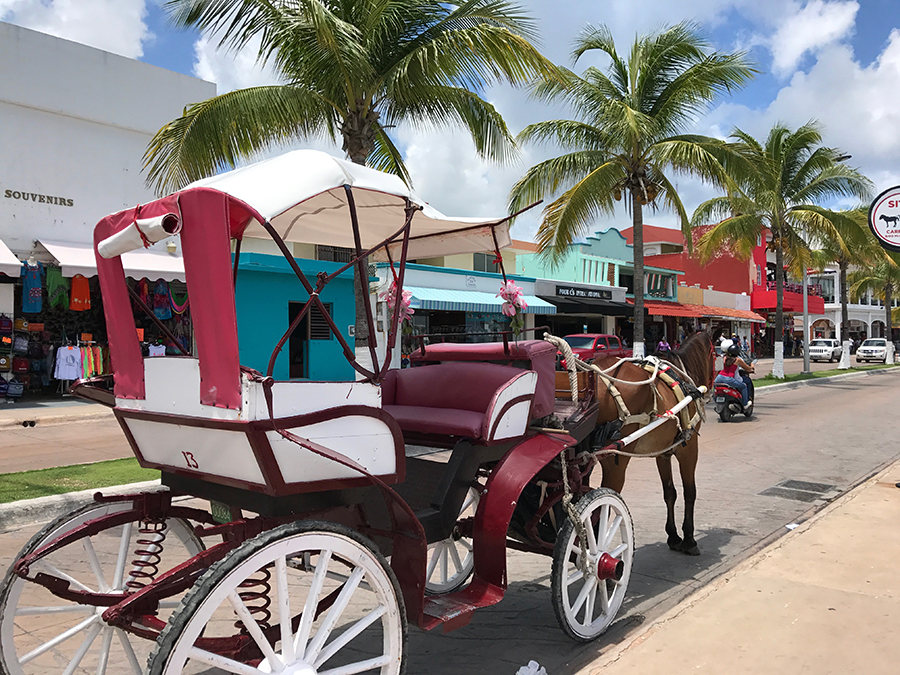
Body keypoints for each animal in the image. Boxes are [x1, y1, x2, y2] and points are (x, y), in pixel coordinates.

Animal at [596, 330, 712, 556]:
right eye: (716, 353)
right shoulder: (689, 448)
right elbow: (690, 492)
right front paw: (689, 539)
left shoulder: (663, 453)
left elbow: (670, 492)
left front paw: (674, 536)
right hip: (614, 461)